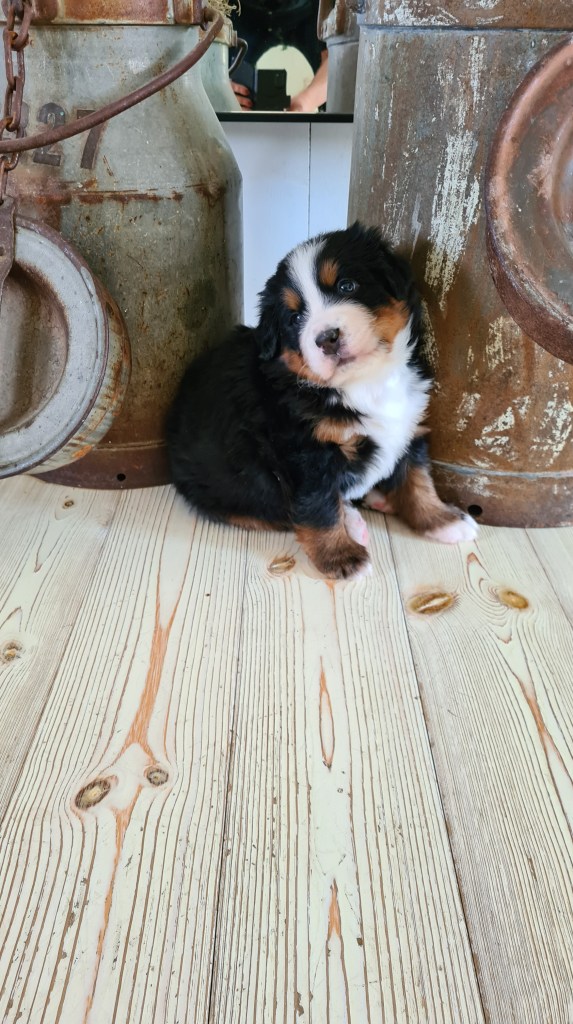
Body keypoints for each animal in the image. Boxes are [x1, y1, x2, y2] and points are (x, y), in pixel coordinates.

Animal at [166, 222, 478, 579]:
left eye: (347, 285)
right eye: (294, 319)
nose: (327, 338)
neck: (365, 383)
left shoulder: (409, 426)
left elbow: (417, 480)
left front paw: (442, 519)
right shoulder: (307, 454)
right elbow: (319, 507)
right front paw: (342, 557)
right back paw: (354, 522)